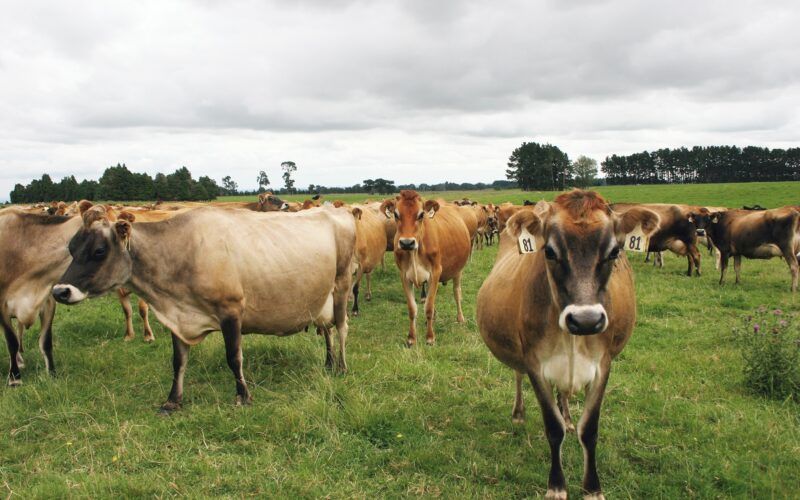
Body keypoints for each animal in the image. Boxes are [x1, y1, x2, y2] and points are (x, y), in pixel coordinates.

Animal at [52, 204, 356, 412]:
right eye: (71, 247)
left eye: (99, 250)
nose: (59, 291)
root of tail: (334, 209)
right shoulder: (178, 317)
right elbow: (178, 361)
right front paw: (173, 400)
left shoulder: (231, 310)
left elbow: (234, 357)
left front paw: (243, 396)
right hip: (320, 298)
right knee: (327, 328)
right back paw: (328, 362)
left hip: (341, 284)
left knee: (341, 328)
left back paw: (341, 367)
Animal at [379, 190, 471, 347]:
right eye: (396, 214)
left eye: (421, 214)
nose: (407, 243)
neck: (414, 252)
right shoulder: (404, 275)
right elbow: (412, 308)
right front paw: (411, 338)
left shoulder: (435, 272)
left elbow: (428, 307)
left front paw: (430, 337)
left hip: (458, 270)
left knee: (457, 293)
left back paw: (460, 318)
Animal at [476, 190, 659, 499]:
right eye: (549, 251)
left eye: (614, 252)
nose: (586, 320)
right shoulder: (535, 364)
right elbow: (553, 428)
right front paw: (557, 486)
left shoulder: (603, 365)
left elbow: (590, 429)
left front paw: (592, 488)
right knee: (518, 375)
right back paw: (519, 414)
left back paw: (569, 418)